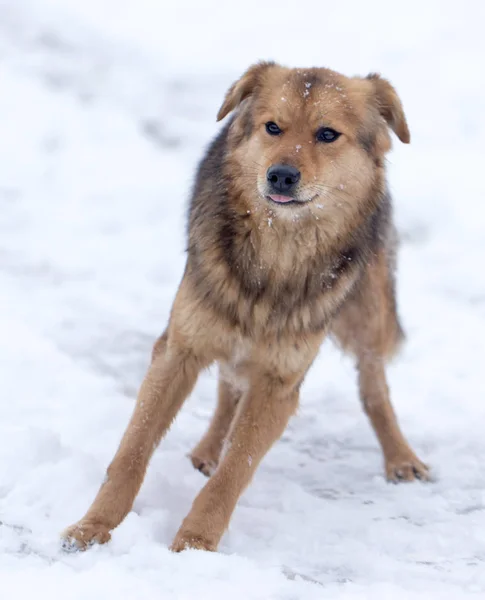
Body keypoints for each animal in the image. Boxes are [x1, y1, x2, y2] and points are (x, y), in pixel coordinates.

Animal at [60, 61, 428, 552]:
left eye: (327, 134)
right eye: (273, 127)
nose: (281, 175)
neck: (275, 256)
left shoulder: (279, 384)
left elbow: (235, 472)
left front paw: (195, 543)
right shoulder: (178, 350)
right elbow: (131, 453)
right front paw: (94, 528)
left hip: (367, 315)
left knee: (374, 386)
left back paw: (400, 457)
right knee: (228, 389)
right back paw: (206, 450)